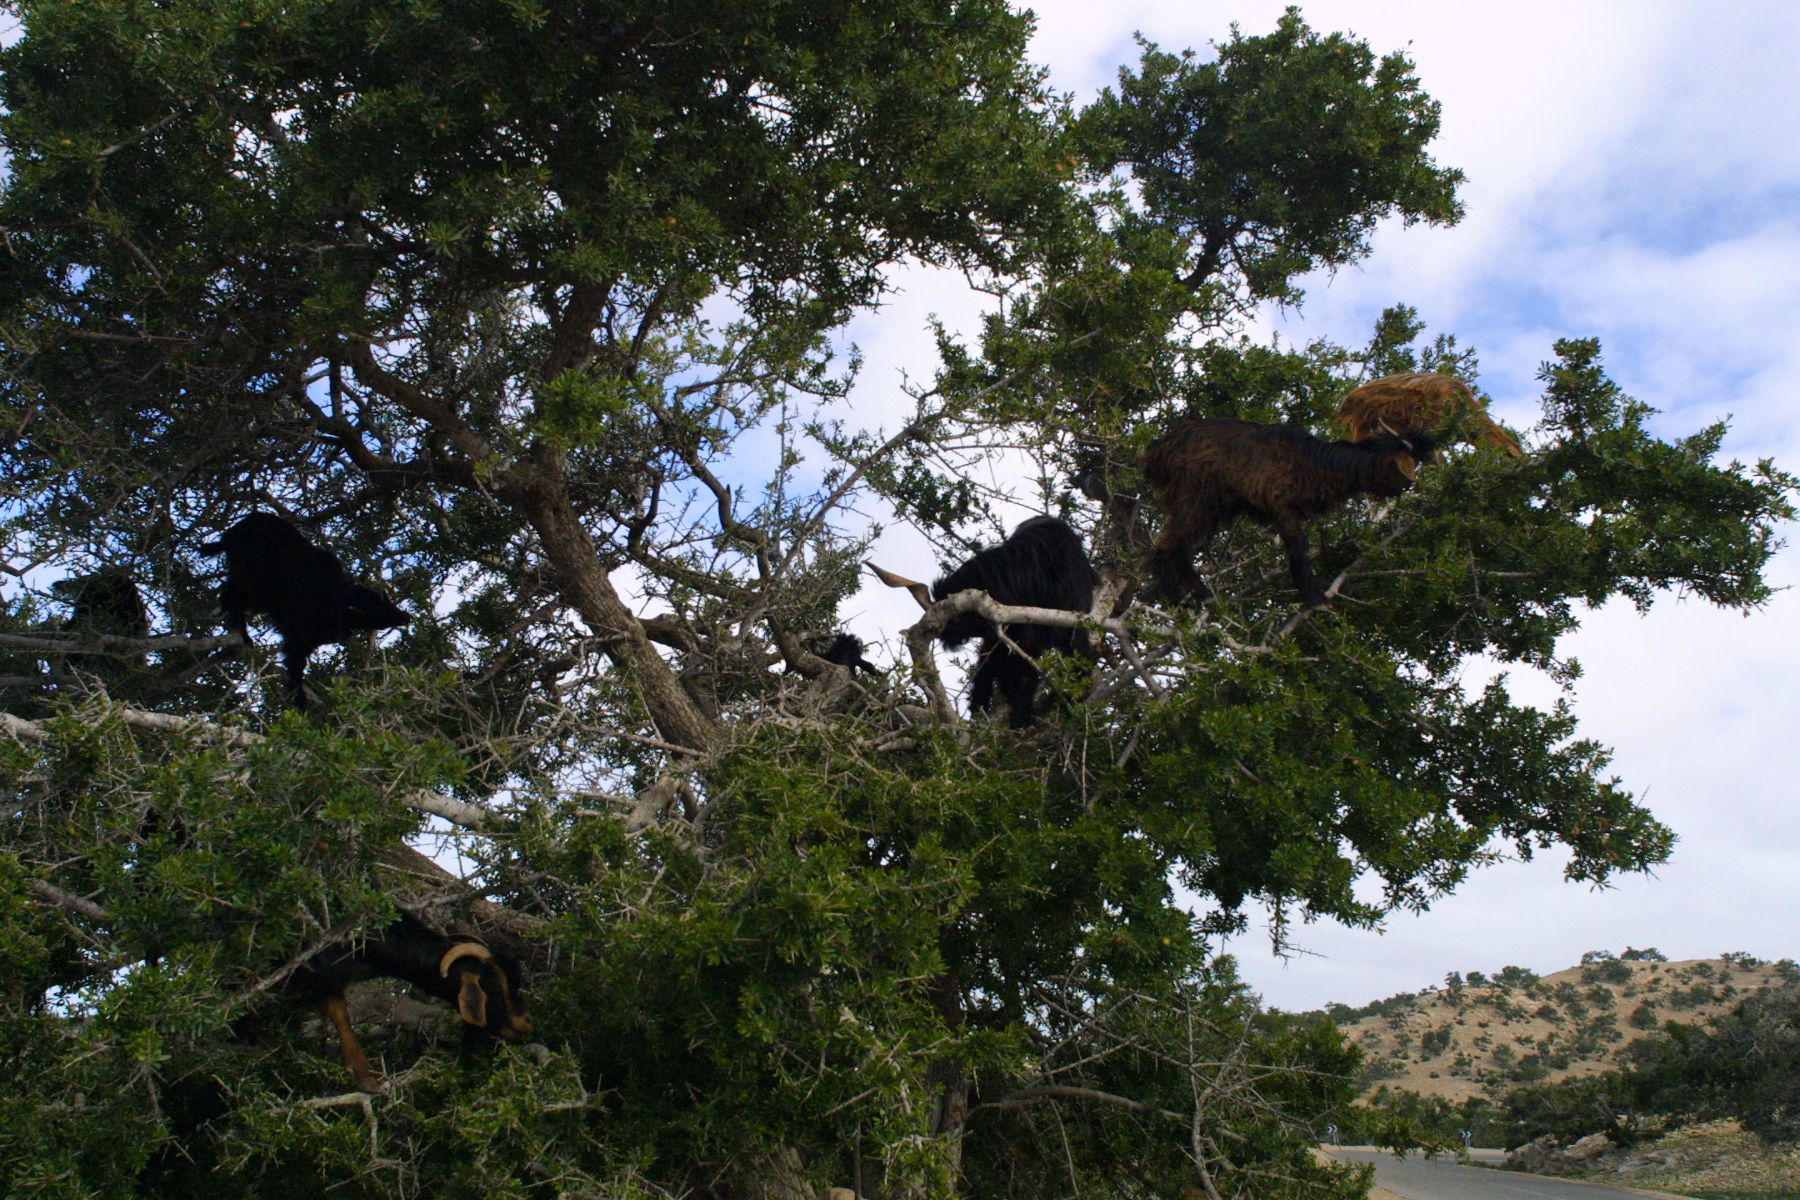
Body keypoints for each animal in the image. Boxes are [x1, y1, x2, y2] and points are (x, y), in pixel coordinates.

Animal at [200, 514, 412, 705]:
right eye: (377, 606)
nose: (405, 616)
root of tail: (233, 532)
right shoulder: (298, 631)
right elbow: (295, 661)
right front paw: (298, 698)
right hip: (252, 578)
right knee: (232, 595)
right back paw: (242, 632)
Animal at [871, 514, 1094, 726]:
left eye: (958, 620)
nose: (945, 638)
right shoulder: (1012, 634)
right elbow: (1012, 673)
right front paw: (1018, 719)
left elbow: (1073, 667)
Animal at [1144, 420, 1425, 611]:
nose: (1406, 486)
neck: (1315, 461)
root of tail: (1161, 449)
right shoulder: (1281, 503)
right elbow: (1298, 548)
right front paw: (1315, 599)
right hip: (1198, 497)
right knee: (1172, 546)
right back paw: (1193, 598)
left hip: (1211, 506)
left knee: (1172, 546)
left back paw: (1184, 599)